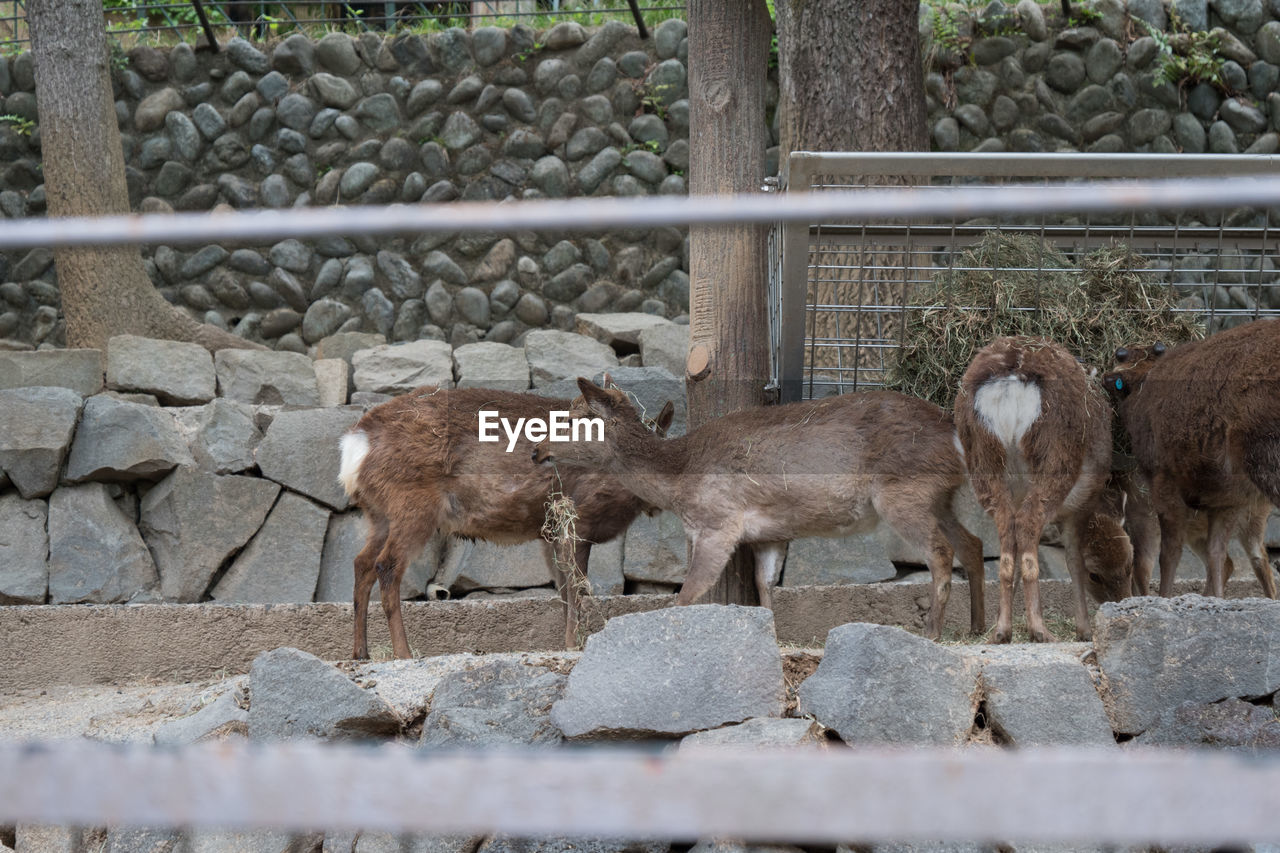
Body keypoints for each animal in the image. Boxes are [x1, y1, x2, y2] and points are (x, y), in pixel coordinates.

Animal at [340, 384, 680, 655]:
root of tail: (356, 443)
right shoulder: (576, 517)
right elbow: (577, 588)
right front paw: (574, 644)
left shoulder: (550, 532)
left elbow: (563, 591)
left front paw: (566, 642)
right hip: (411, 504)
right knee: (387, 566)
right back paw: (403, 652)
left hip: (379, 513)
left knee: (361, 563)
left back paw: (361, 652)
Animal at [529, 376, 988, 637]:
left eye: (573, 418)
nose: (536, 451)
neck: (679, 480)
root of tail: (954, 435)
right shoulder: (769, 535)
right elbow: (764, 587)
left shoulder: (718, 523)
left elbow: (688, 594)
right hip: (940, 497)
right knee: (973, 543)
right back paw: (980, 627)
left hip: (904, 492)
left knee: (940, 551)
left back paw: (931, 632)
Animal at [957, 335, 1126, 640]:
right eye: (1098, 575)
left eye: (1127, 566)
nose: (1121, 599)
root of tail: (1011, 378)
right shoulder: (1081, 507)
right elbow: (1074, 560)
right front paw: (1084, 630)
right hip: (1055, 455)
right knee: (1028, 521)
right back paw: (1040, 629)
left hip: (982, 458)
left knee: (1007, 534)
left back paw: (1002, 631)